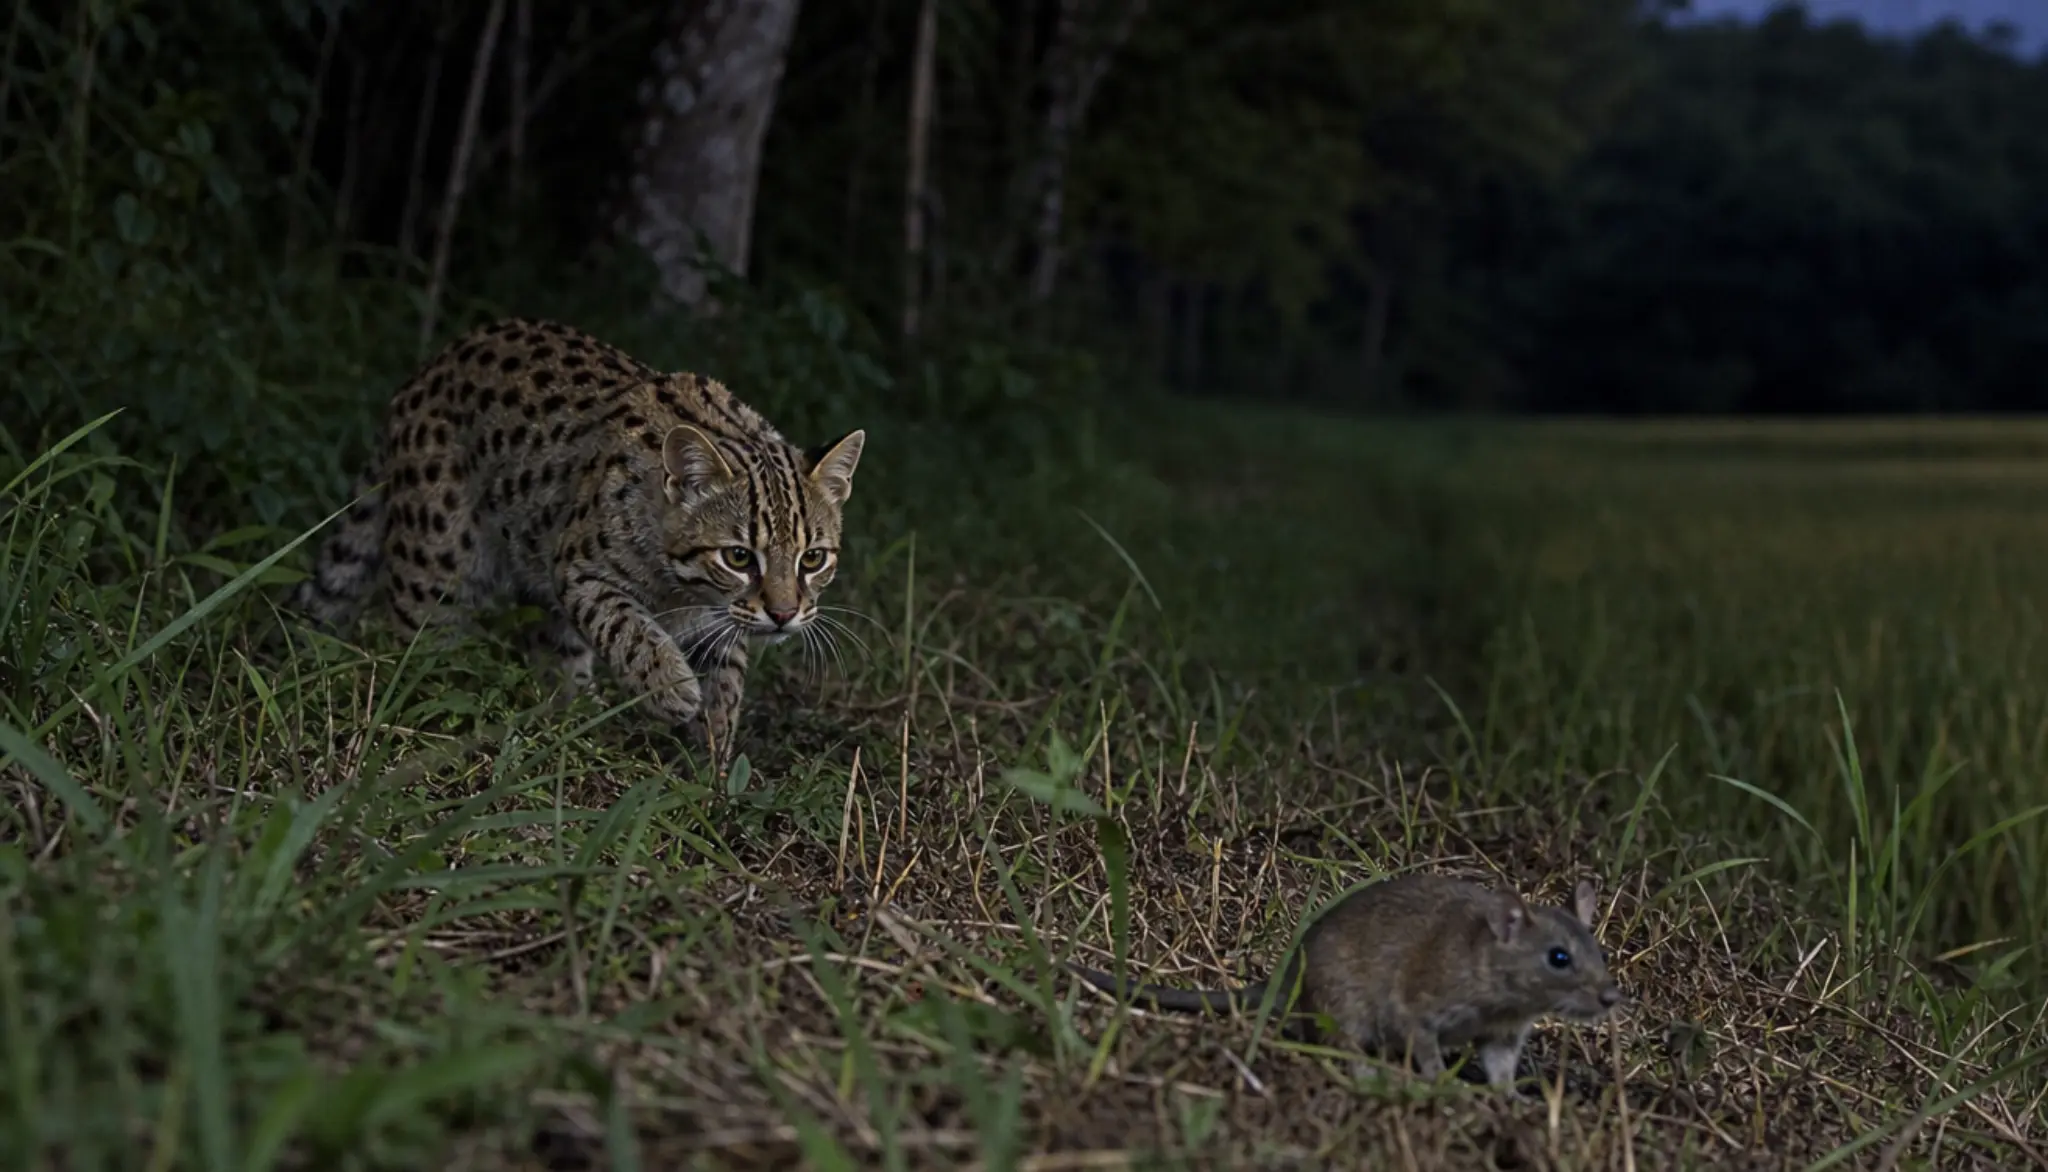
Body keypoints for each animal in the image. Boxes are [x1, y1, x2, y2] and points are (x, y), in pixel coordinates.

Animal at [290, 315, 866, 769]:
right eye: (739, 556)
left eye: (813, 558)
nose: (784, 615)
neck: (685, 590)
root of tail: (427, 370)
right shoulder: (578, 568)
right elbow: (626, 626)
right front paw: (671, 689)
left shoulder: (716, 624)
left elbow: (726, 687)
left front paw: (710, 771)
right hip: (437, 562)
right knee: (418, 640)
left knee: (551, 650)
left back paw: (572, 721)